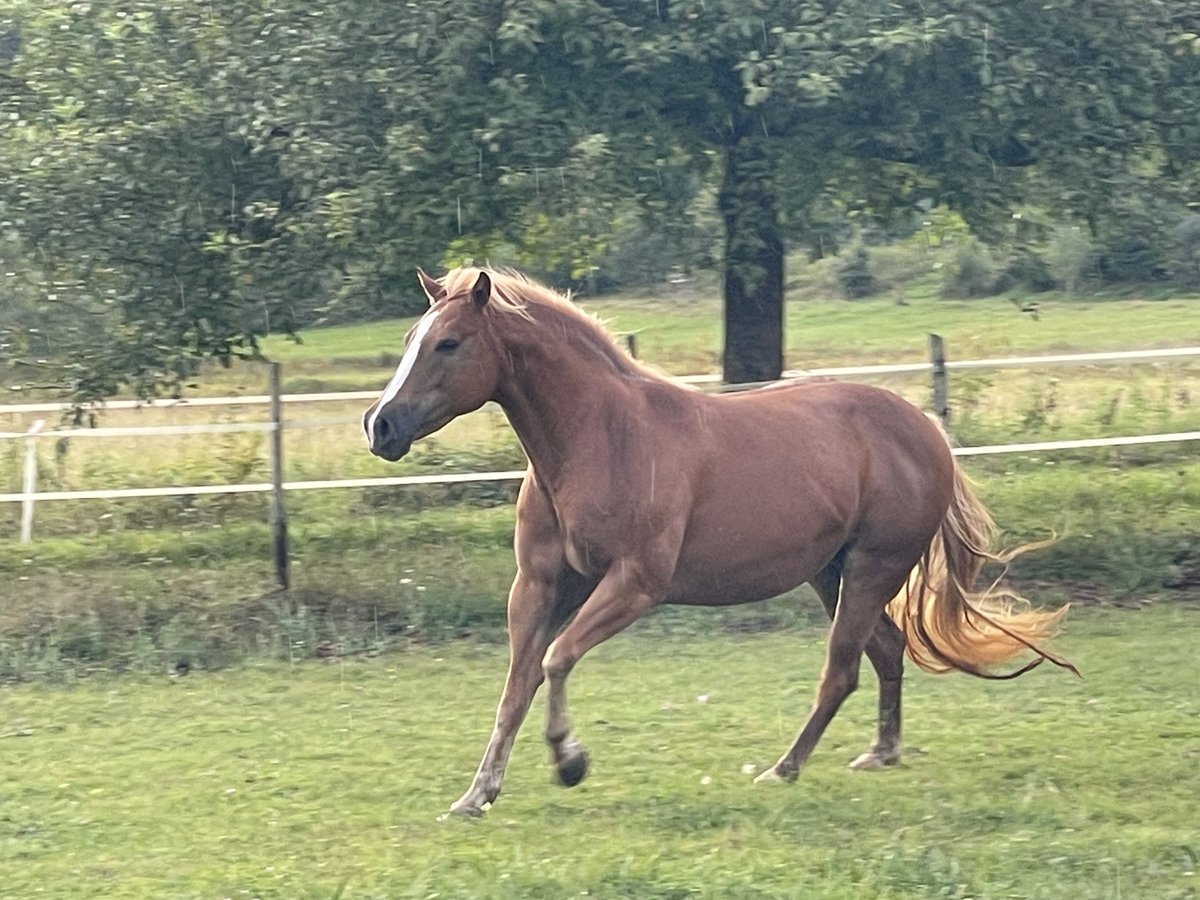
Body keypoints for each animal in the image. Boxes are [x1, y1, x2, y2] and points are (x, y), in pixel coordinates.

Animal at [357, 266, 1080, 816]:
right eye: (411, 337)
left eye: (450, 343)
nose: (379, 425)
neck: (600, 439)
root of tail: (926, 431)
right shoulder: (539, 587)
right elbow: (516, 685)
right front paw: (476, 797)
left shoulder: (634, 584)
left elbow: (556, 661)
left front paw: (570, 761)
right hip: (834, 574)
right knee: (885, 651)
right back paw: (880, 753)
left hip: (873, 568)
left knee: (841, 669)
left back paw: (783, 769)